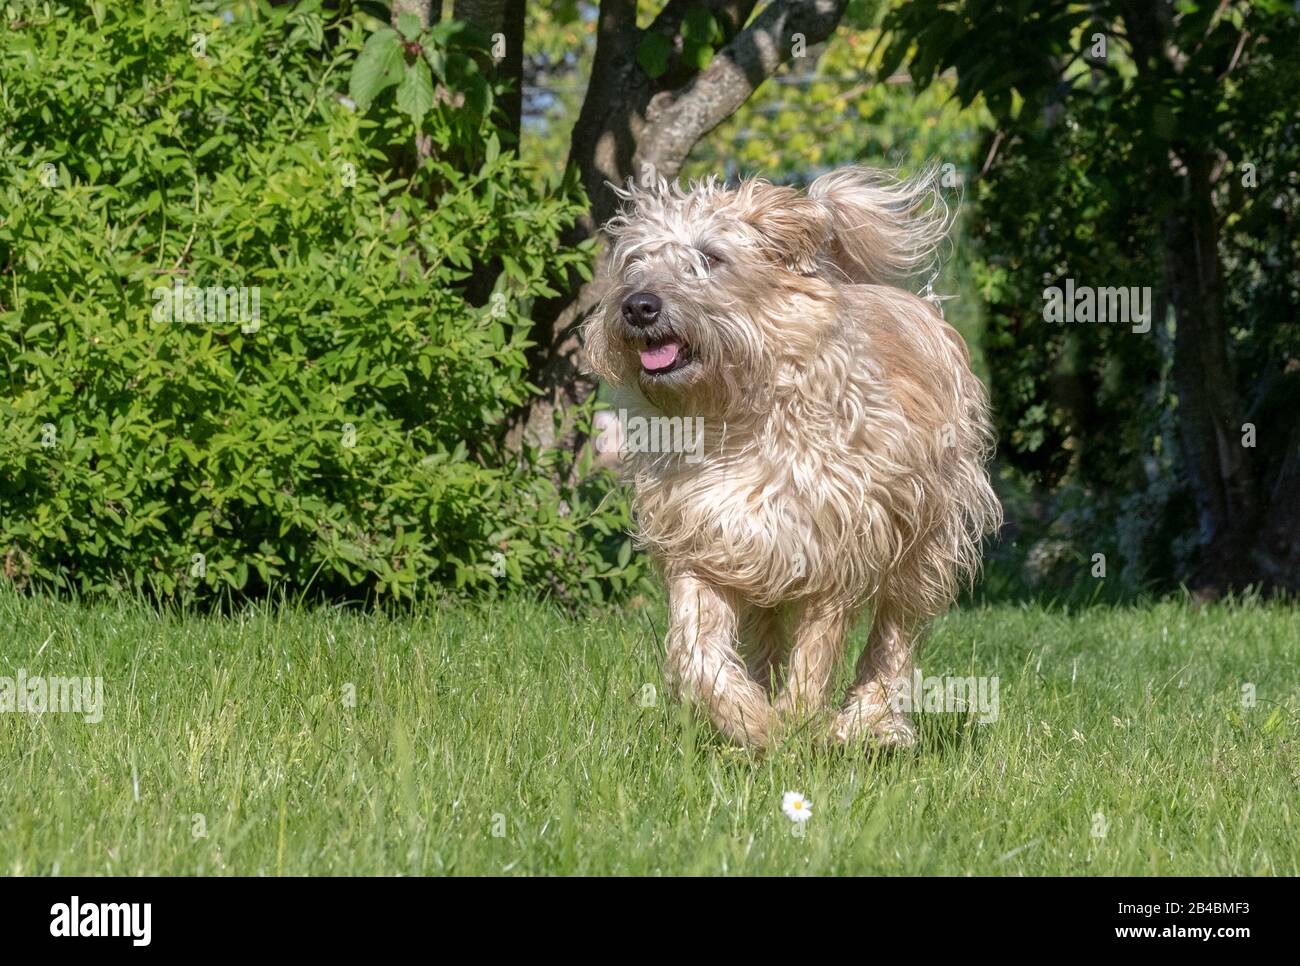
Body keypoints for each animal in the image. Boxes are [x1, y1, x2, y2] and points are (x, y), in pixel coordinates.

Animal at [585, 166, 998, 748]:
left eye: (711, 257)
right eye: (635, 261)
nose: (638, 305)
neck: (737, 420)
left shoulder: (833, 551)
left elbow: (816, 655)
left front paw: (797, 725)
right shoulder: (704, 541)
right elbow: (696, 648)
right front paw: (750, 721)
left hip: (926, 541)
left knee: (895, 631)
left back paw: (867, 720)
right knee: (764, 636)